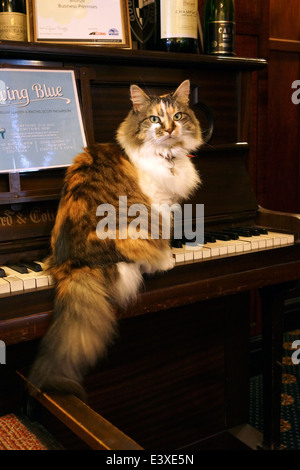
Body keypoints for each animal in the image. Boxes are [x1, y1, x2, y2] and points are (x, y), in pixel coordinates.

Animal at [28, 78, 203, 400]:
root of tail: (71, 264)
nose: (169, 129)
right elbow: (162, 237)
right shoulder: (159, 206)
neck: (168, 157)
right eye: (154, 119)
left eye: (178, 116)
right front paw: (168, 258)